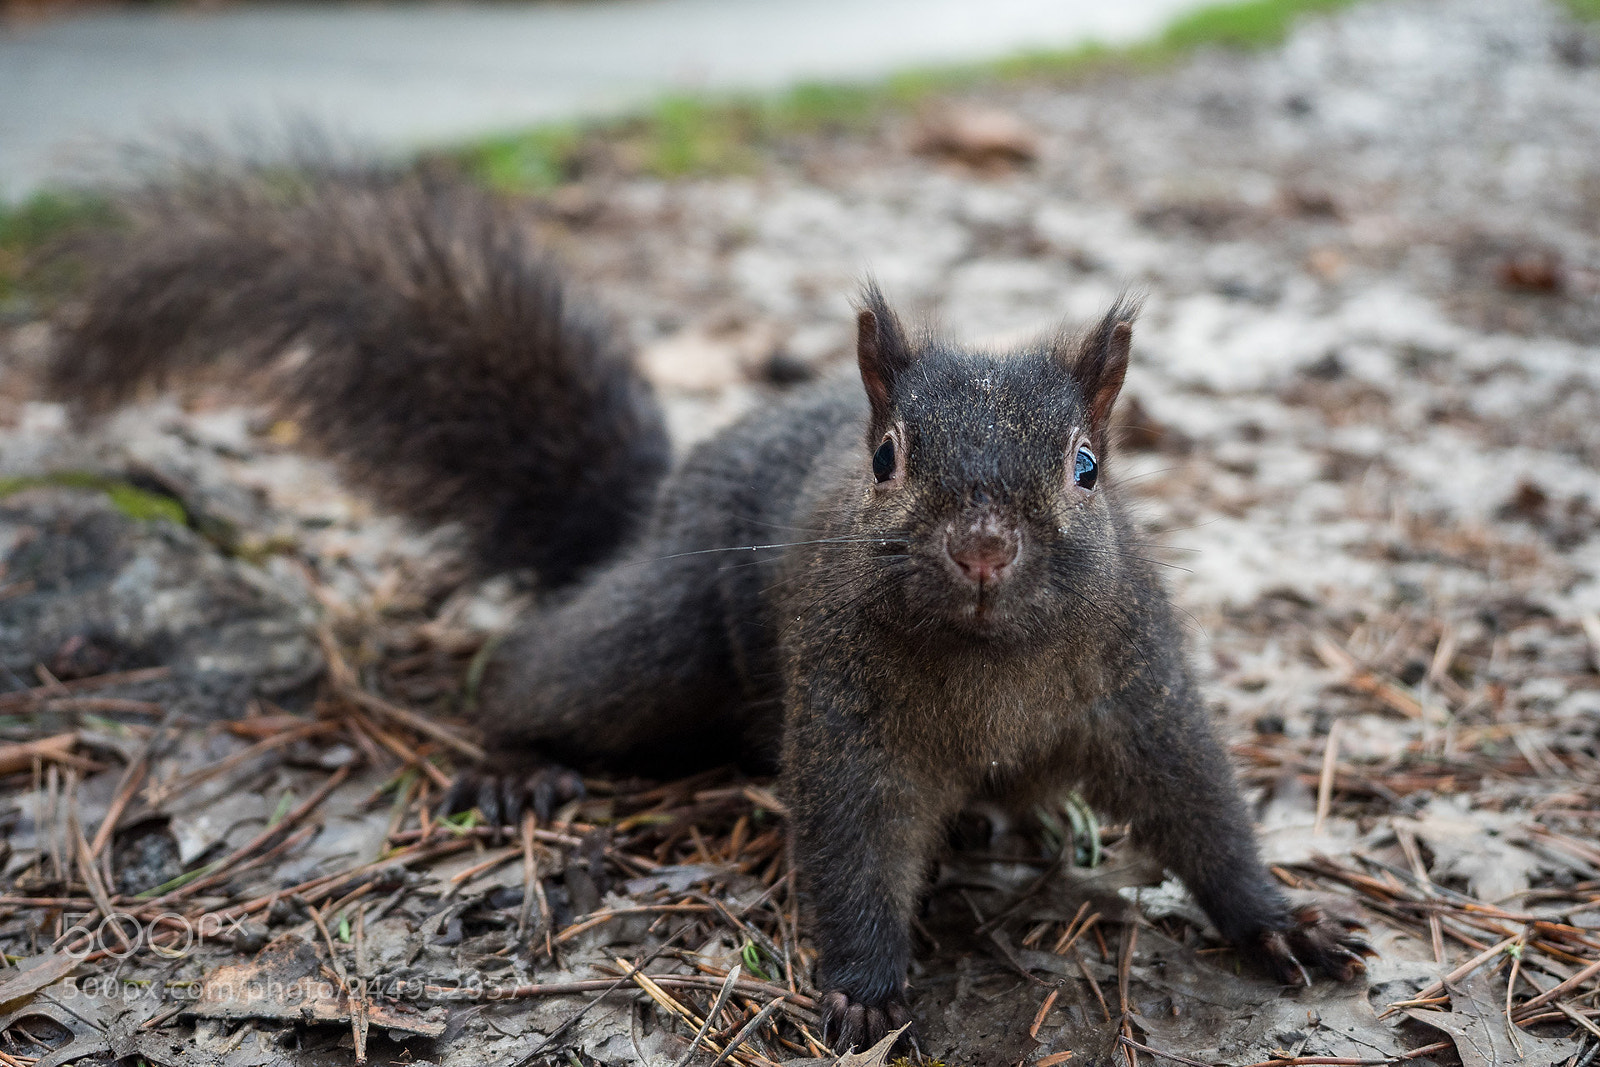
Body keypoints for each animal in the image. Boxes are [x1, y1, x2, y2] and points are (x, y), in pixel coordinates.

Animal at [42, 165, 1373, 1052]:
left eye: (1087, 468)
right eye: (885, 456)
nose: (983, 550)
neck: (988, 653)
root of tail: (654, 509)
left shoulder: (1139, 685)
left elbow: (1200, 806)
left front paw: (1282, 923)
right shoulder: (844, 710)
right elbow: (850, 840)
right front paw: (861, 985)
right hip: (658, 640)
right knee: (533, 667)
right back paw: (514, 762)